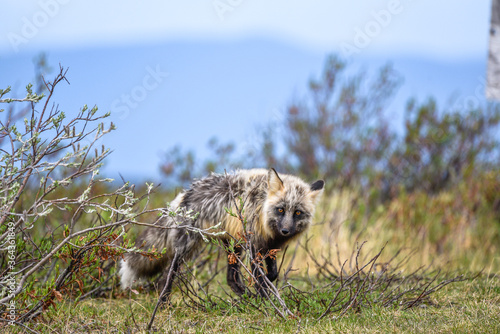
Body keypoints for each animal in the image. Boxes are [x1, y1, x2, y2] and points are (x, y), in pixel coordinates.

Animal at [119, 168, 326, 296]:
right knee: (164, 281)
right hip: (185, 249)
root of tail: (186, 193)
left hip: (233, 246)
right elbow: (259, 279)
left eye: (297, 212)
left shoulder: (269, 245)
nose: (285, 231)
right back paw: (163, 306)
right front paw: (267, 302)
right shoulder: (254, 245)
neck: (261, 208)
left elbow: (272, 273)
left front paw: (265, 287)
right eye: (281, 210)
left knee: (231, 279)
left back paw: (246, 299)